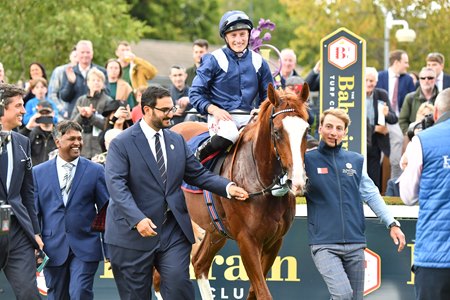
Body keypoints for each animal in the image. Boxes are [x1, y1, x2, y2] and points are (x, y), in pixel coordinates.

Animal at [172, 82, 310, 300]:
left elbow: (255, 290)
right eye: (277, 132)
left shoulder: (274, 242)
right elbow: (262, 292)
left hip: (215, 230)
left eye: (306, 130)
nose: (296, 181)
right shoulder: (247, 241)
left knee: (200, 263)